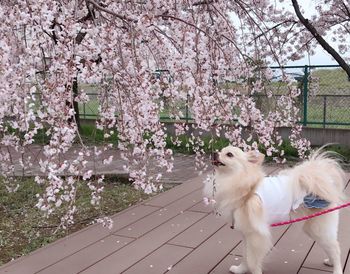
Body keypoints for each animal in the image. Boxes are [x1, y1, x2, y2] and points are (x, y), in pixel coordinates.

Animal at [204, 147, 346, 274]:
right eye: (220, 150)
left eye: (229, 154)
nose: (214, 152)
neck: (246, 188)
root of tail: (323, 181)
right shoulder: (246, 234)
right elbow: (245, 255)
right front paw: (240, 270)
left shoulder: (256, 235)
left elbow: (252, 260)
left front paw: (253, 271)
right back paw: (330, 262)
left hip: (318, 228)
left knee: (336, 248)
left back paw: (337, 270)